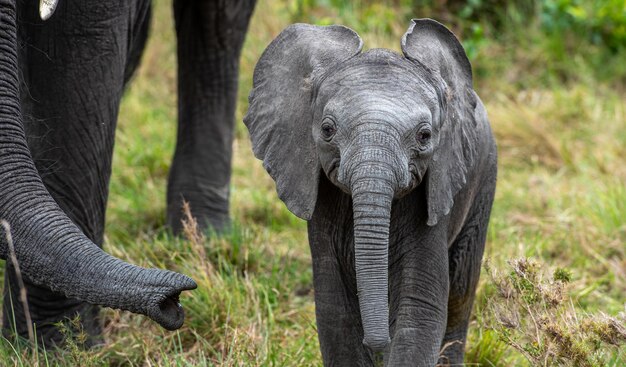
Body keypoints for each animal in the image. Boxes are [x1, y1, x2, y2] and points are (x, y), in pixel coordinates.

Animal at [0, 0, 254, 348]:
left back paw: (206, 236)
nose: (174, 301)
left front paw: (63, 348)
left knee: (217, 25)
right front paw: (53, 346)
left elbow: (78, 44)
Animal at [244, 19, 492, 366]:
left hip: (485, 179)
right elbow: (335, 312)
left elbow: (420, 307)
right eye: (327, 130)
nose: (377, 343)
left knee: (460, 292)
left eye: (425, 136)